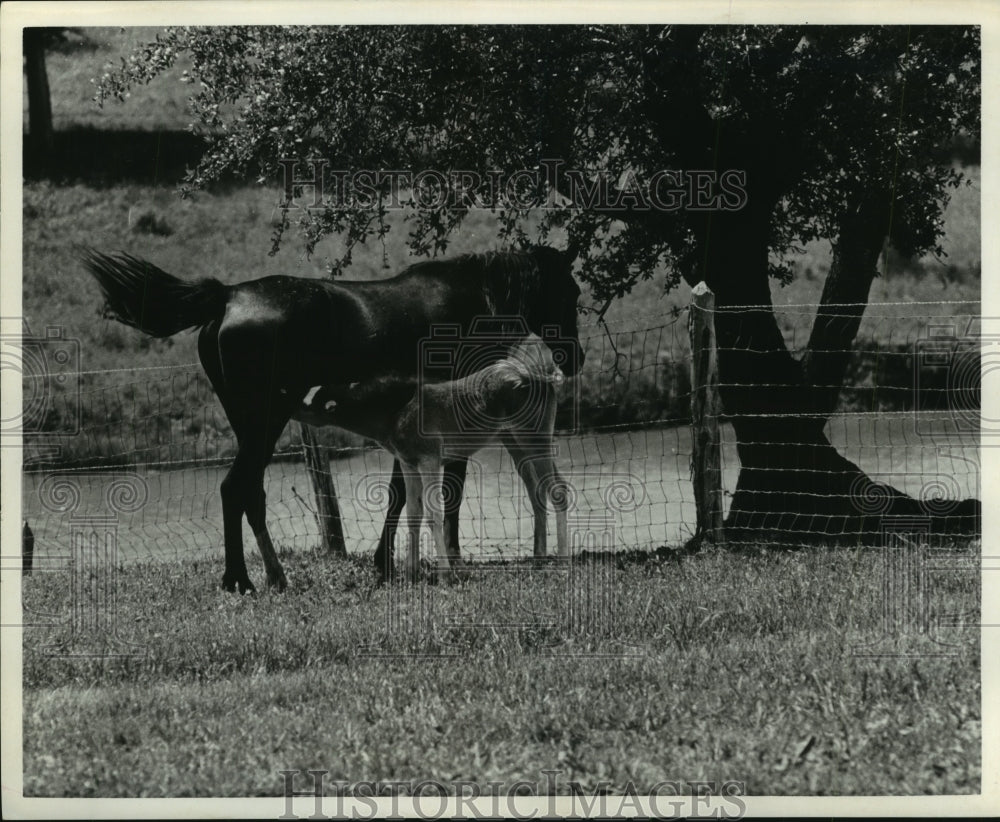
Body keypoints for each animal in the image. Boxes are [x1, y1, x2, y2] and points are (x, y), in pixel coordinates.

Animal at [88, 248, 584, 596]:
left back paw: (270, 576)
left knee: (250, 493)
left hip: (251, 426)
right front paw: (429, 562)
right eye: (572, 293)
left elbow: (404, 495)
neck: (466, 299)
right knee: (237, 488)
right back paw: (243, 580)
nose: (575, 359)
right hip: (265, 422)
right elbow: (440, 494)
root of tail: (226, 297)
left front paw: (389, 565)